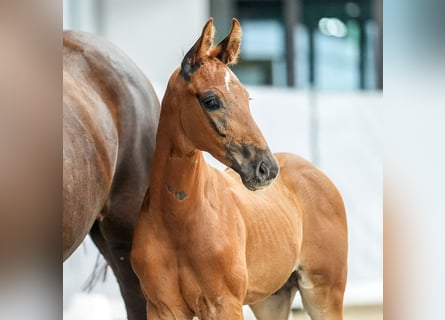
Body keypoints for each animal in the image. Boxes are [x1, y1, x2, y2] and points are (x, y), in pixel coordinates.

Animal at [130, 18, 348, 318]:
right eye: (211, 100)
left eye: (247, 97)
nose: (266, 168)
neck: (179, 220)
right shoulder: (163, 308)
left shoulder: (225, 304)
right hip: (271, 299)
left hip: (324, 294)